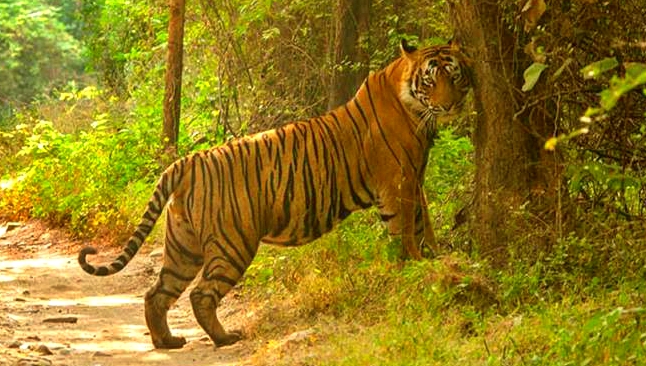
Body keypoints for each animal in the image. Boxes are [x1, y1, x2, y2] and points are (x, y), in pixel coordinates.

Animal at [77, 39, 470, 348]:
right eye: (431, 79)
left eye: (455, 76)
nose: (450, 106)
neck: (410, 100)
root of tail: (186, 162)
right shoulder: (399, 181)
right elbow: (406, 229)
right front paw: (415, 267)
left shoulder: (415, 178)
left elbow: (424, 221)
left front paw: (434, 258)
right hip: (232, 243)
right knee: (201, 294)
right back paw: (224, 338)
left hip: (182, 246)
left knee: (157, 293)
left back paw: (167, 341)